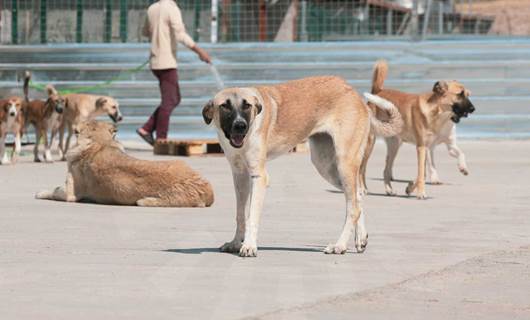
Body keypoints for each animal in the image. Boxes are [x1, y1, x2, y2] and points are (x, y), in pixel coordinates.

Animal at [35, 120, 214, 208]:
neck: (100, 142)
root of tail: (208, 191)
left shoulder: (69, 194)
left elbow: (53, 190)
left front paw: (40, 192)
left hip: (148, 201)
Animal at [201, 75, 400, 258]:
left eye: (247, 106)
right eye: (225, 106)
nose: (240, 126)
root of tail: (354, 93)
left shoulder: (258, 176)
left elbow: (252, 216)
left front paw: (249, 245)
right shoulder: (239, 176)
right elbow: (240, 215)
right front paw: (236, 243)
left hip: (344, 164)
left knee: (353, 207)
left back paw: (340, 245)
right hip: (326, 166)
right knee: (358, 196)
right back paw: (360, 239)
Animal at [358, 60, 474, 199]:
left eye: (467, 94)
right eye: (460, 94)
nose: (473, 109)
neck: (440, 116)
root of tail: (378, 92)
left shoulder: (445, 146)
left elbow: (459, 154)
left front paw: (463, 167)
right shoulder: (422, 147)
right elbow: (421, 173)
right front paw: (420, 193)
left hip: (394, 145)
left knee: (386, 169)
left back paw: (389, 190)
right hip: (370, 143)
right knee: (361, 168)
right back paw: (362, 189)